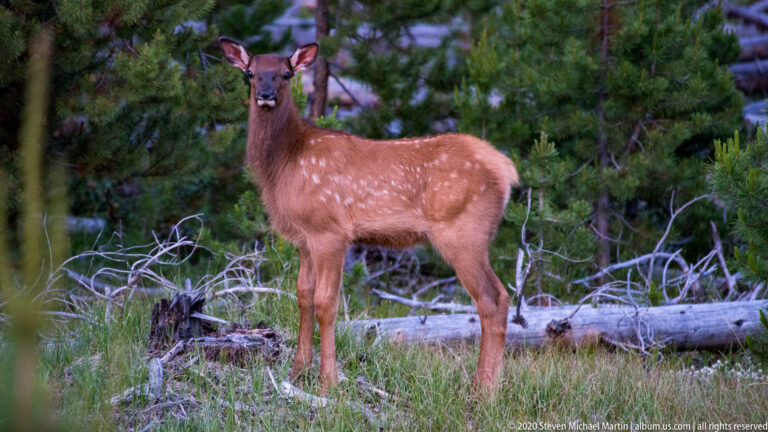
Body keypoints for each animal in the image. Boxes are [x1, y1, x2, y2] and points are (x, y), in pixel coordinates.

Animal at [218, 37, 519, 396]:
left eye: (286, 74)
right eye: (250, 73)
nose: (265, 94)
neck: (284, 164)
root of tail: (507, 169)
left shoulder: (330, 231)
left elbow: (326, 303)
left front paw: (328, 383)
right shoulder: (304, 238)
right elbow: (303, 297)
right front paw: (297, 374)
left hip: (463, 232)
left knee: (493, 299)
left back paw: (483, 392)